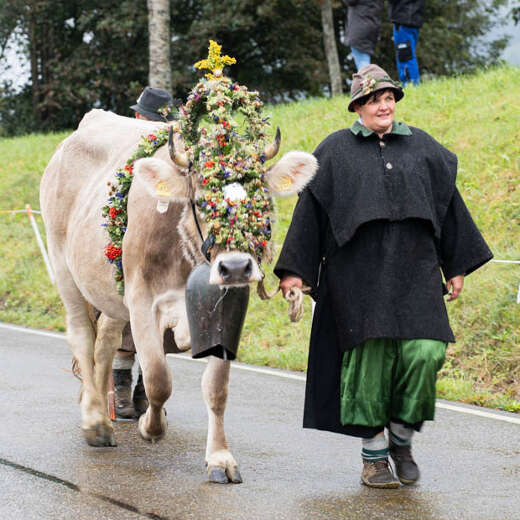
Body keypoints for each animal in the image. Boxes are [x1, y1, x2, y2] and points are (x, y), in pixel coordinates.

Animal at [40, 41, 316, 484]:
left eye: (260, 202)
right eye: (202, 200)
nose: (235, 268)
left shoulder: (226, 307)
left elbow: (216, 388)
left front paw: (220, 458)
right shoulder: (142, 301)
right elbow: (157, 378)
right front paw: (151, 427)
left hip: (110, 289)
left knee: (104, 344)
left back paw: (103, 411)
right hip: (65, 268)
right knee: (83, 335)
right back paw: (96, 423)